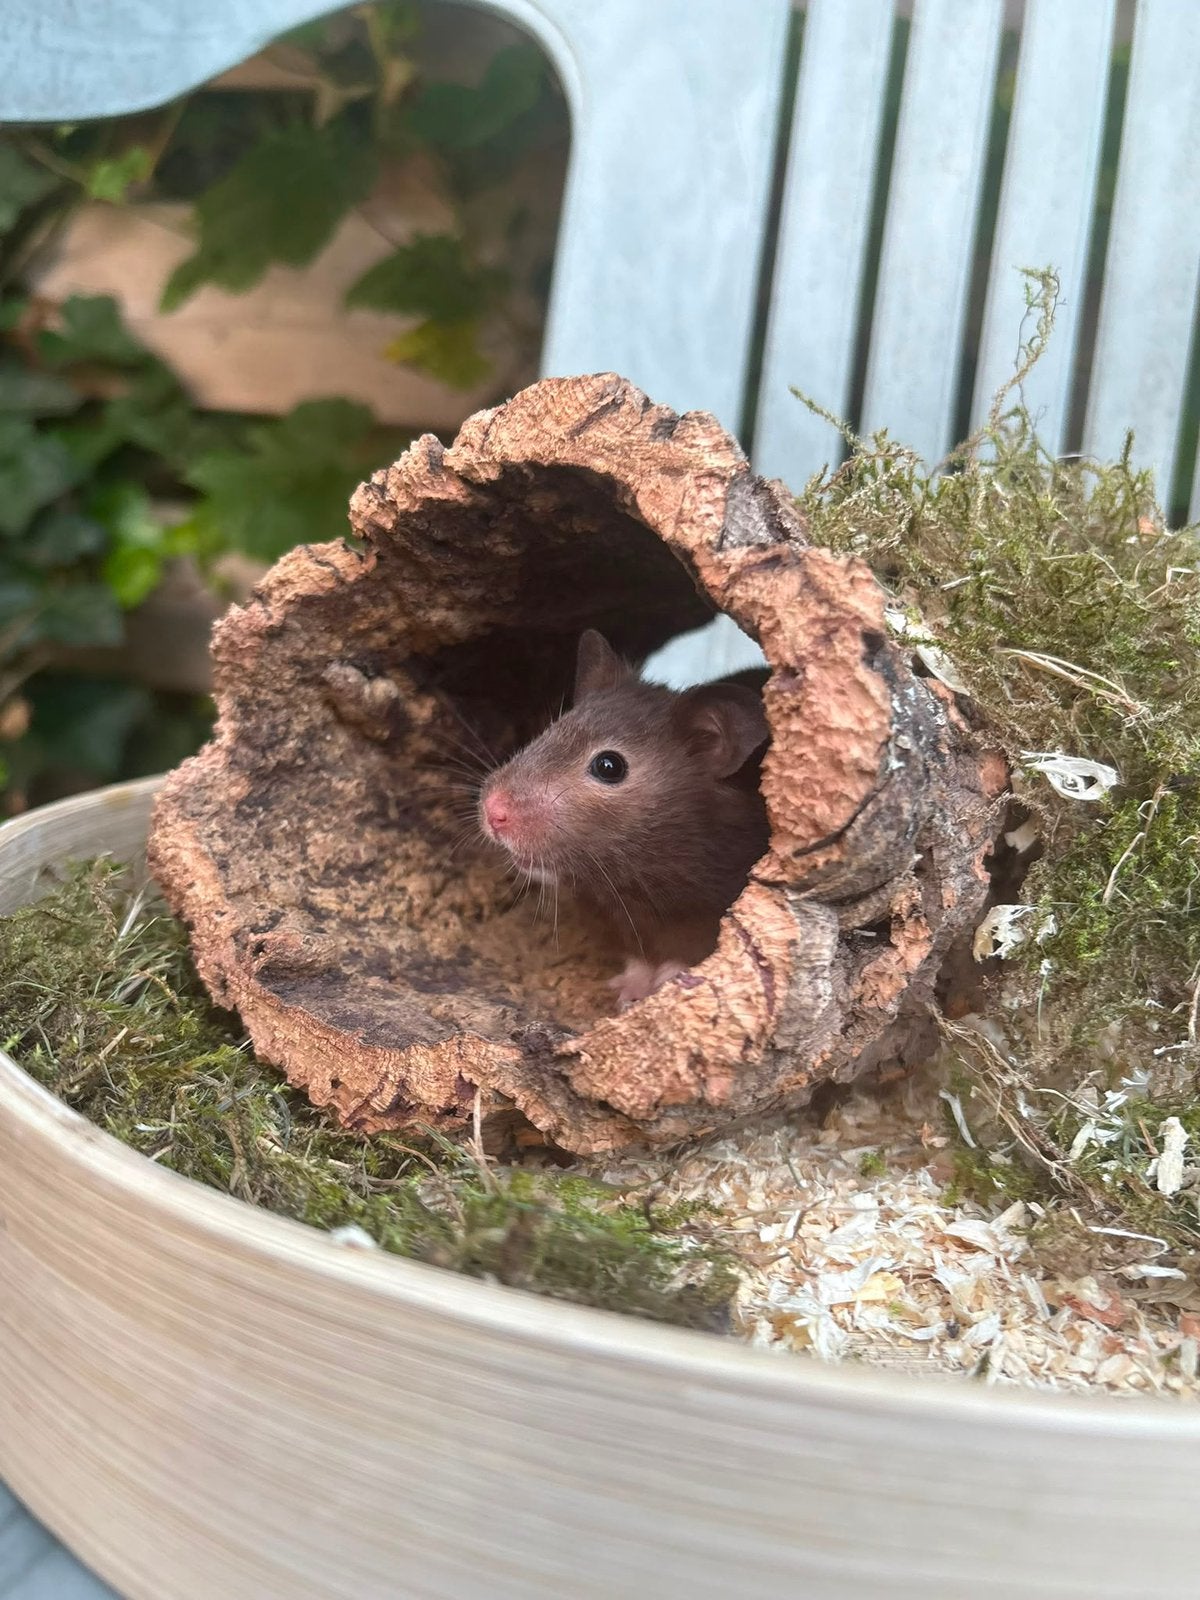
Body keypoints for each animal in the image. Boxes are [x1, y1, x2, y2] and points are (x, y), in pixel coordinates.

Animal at [478, 628, 770, 1008]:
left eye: (609, 766)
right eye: (551, 729)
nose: (492, 811)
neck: (636, 884)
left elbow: (689, 954)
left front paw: (662, 983)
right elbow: (637, 957)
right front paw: (626, 991)